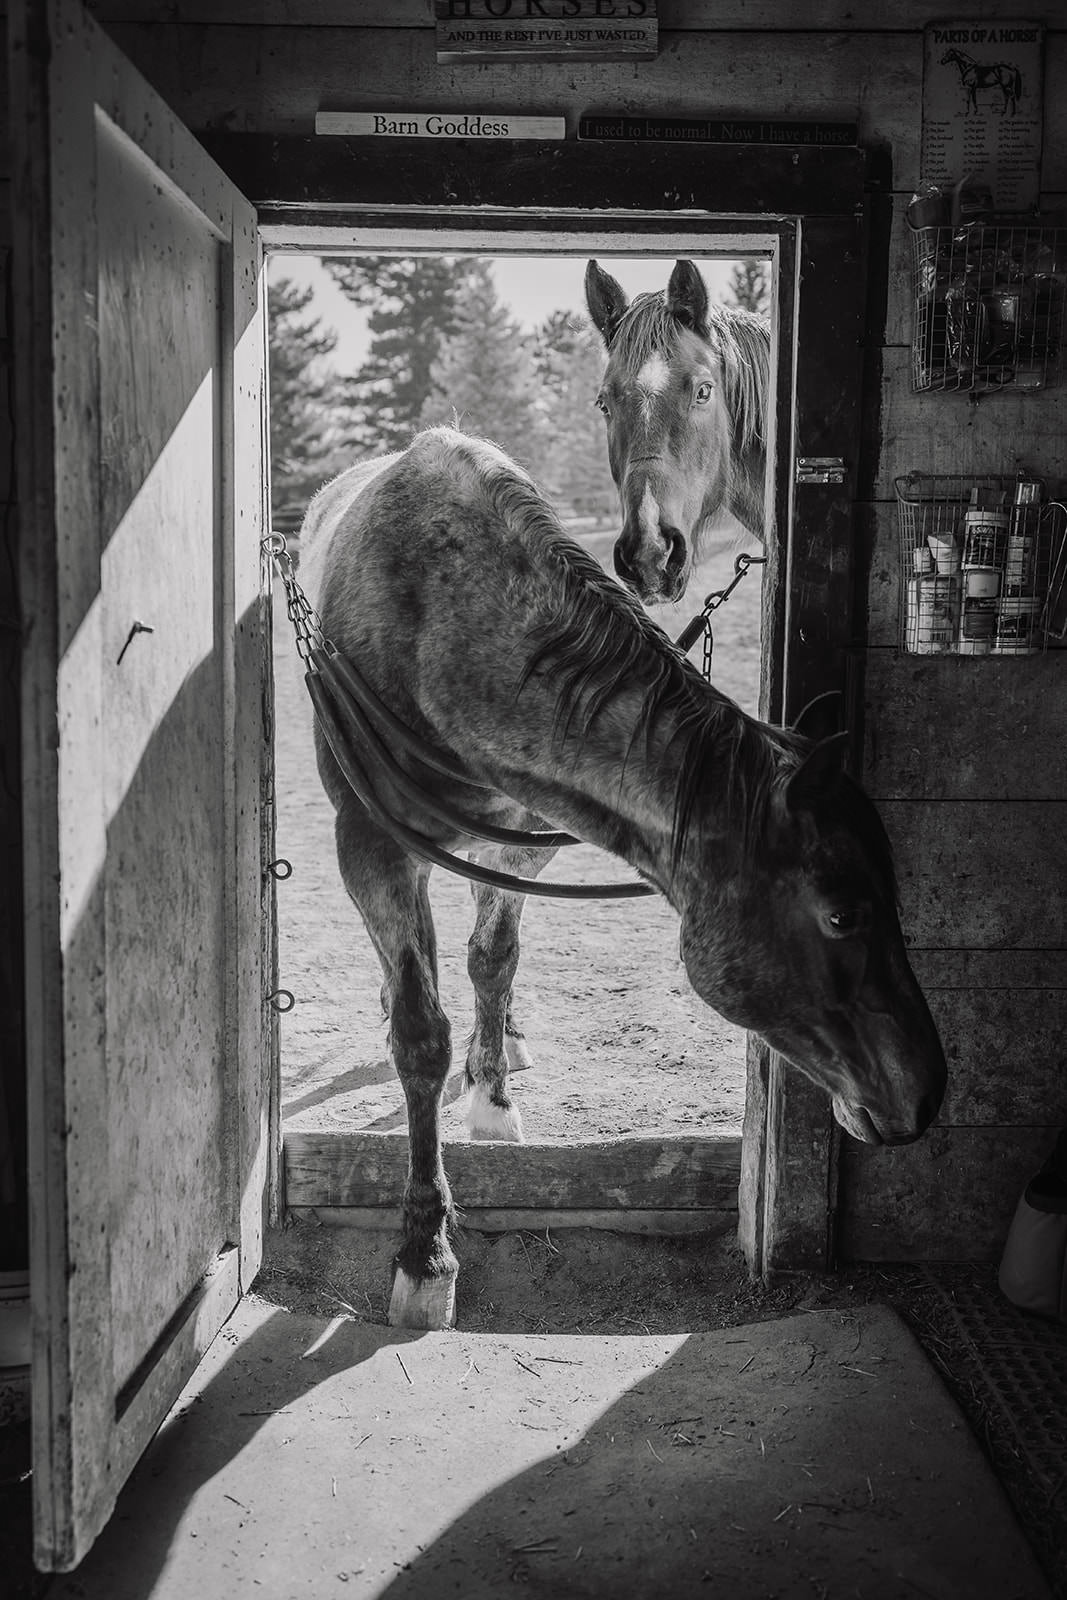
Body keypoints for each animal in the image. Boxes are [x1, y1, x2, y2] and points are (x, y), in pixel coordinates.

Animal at [299, 425, 946, 1330]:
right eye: (842, 915)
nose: (925, 1093)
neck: (434, 615)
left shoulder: (526, 833)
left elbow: (492, 959)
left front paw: (493, 1096)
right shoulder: (369, 844)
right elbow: (419, 1036)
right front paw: (424, 1253)